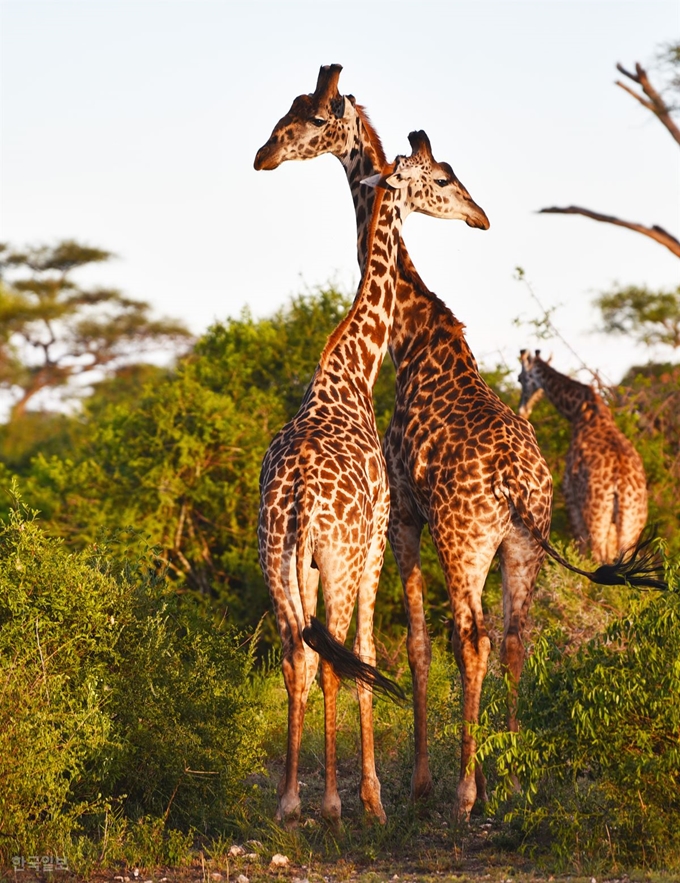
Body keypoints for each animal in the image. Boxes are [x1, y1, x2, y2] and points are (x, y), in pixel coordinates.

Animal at [256, 131, 488, 828]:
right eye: (442, 177)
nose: (479, 216)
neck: (353, 369)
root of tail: (299, 498)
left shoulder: (313, 563)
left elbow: (319, 660)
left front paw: (312, 796)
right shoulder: (376, 543)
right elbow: (366, 654)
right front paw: (372, 797)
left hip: (277, 561)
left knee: (297, 653)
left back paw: (289, 802)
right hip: (335, 559)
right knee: (334, 657)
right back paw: (334, 804)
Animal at [516, 348, 652, 564]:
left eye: (520, 378)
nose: (523, 409)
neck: (578, 410)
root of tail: (621, 484)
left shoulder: (570, 498)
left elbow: (579, 548)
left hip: (596, 515)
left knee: (597, 556)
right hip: (632, 522)